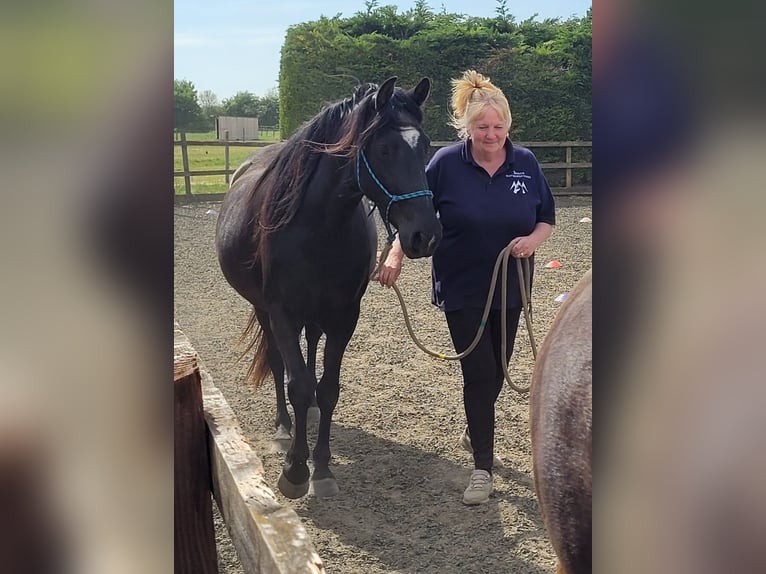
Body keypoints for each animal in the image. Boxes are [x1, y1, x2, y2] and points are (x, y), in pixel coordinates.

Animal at [215, 77, 442, 499]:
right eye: (384, 148)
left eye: (424, 146)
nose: (426, 235)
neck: (316, 225)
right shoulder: (282, 312)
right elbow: (299, 386)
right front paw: (295, 470)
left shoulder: (344, 316)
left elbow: (329, 388)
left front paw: (321, 467)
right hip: (263, 310)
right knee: (279, 365)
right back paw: (284, 426)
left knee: (311, 352)